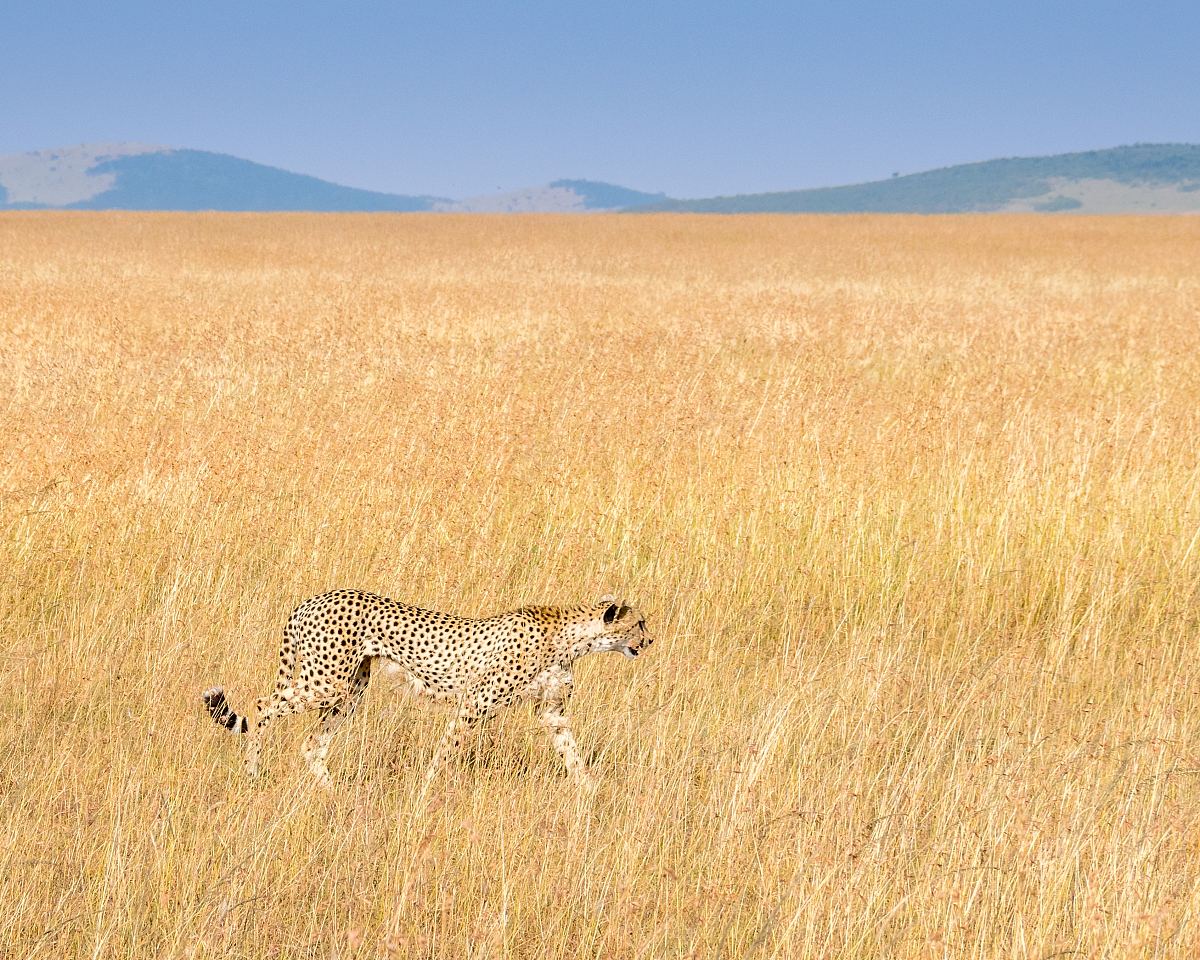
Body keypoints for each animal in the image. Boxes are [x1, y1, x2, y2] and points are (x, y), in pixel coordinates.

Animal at [201, 588, 652, 792]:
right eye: (640, 623)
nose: (650, 641)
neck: (570, 636)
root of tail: (310, 600)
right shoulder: (475, 704)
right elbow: (447, 752)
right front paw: (429, 790)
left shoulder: (552, 712)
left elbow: (572, 754)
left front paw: (590, 793)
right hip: (325, 682)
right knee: (263, 704)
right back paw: (253, 772)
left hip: (350, 690)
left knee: (312, 743)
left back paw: (333, 794)